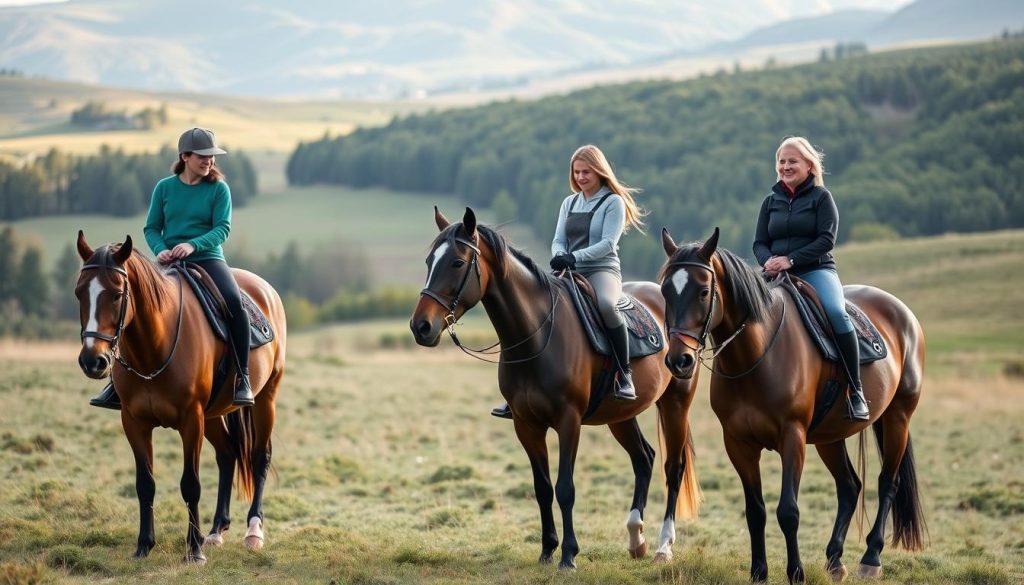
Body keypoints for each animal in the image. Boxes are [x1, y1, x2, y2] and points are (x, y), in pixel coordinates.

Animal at [74, 231, 286, 565]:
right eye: (79, 293)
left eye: (117, 294)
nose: (92, 361)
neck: (153, 348)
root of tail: (266, 289)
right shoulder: (133, 422)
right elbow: (145, 484)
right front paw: (144, 545)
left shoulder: (190, 421)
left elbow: (191, 484)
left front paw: (194, 551)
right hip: (213, 415)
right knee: (227, 455)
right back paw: (215, 531)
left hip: (265, 399)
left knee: (259, 457)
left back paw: (253, 532)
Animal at [411, 207, 700, 569]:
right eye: (428, 261)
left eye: (457, 262)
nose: (420, 326)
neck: (536, 335)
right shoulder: (526, 425)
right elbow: (542, 487)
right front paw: (548, 549)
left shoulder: (568, 421)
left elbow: (565, 488)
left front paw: (569, 555)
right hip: (620, 415)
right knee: (643, 458)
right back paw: (637, 540)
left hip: (676, 404)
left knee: (672, 469)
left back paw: (664, 546)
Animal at [659, 227, 925, 581]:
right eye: (665, 291)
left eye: (703, 291)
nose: (679, 361)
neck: (757, 356)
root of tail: (904, 314)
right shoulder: (738, 443)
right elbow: (755, 510)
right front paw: (759, 571)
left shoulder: (792, 437)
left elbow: (788, 511)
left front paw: (795, 572)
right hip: (830, 437)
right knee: (849, 486)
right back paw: (834, 560)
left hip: (898, 418)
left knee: (887, 484)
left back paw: (870, 558)